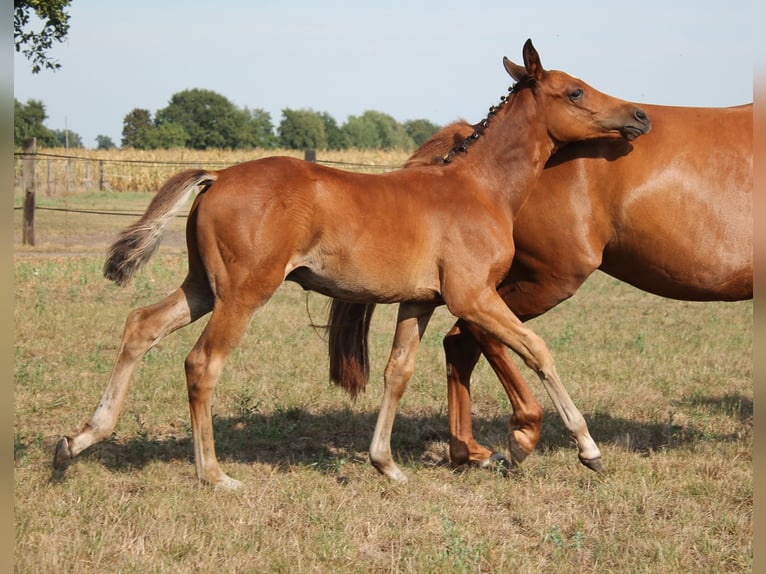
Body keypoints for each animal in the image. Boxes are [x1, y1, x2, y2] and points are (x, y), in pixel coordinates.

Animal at [55, 41, 656, 490]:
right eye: (575, 90)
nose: (640, 116)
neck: (478, 188)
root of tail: (217, 176)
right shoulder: (473, 296)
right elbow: (539, 350)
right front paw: (587, 448)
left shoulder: (419, 301)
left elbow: (397, 372)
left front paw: (386, 464)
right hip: (244, 293)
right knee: (202, 363)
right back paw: (214, 474)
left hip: (203, 286)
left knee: (142, 325)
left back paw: (76, 441)